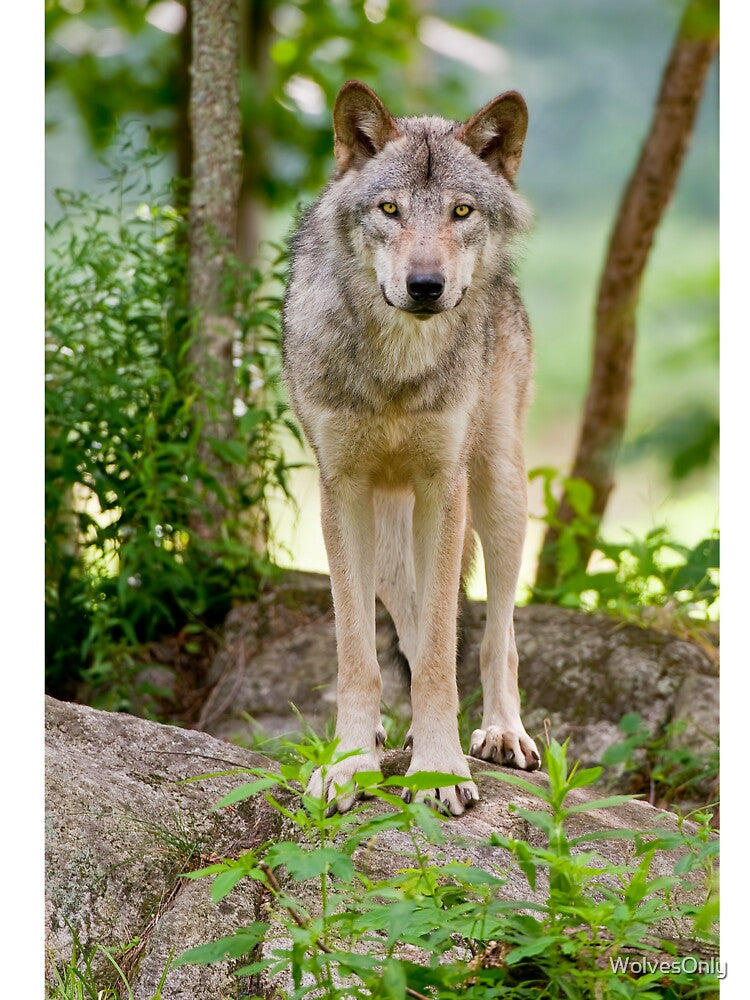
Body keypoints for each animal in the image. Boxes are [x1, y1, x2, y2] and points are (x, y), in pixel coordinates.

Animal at [282, 80, 541, 817]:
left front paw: (439, 769)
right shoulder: (340, 490)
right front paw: (347, 767)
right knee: (401, 627)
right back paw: (376, 734)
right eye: (390, 209)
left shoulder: (443, 487)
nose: (426, 286)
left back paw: (501, 733)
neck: (398, 370)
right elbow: (356, 656)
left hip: (497, 493)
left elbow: (436, 660)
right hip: (392, 538)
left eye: (461, 211)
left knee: (497, 638)